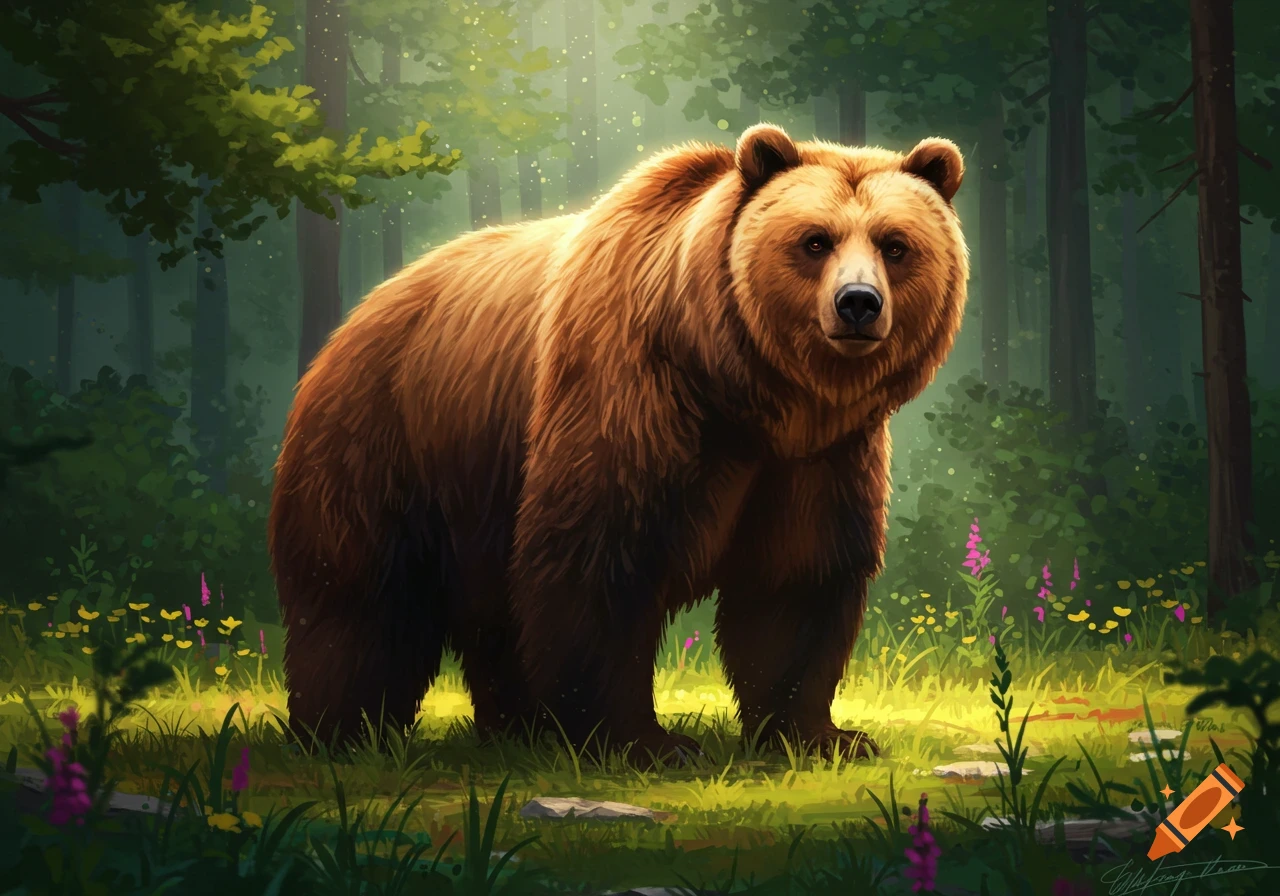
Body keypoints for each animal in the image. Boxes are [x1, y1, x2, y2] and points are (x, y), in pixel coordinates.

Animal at [268, 123, 968, 763]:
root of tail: (357, 317)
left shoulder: (820, 457)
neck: (746, 392)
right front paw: (645, 742)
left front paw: (826, 735)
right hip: (388, 441)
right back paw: (344, 732)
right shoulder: (632, 394)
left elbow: (796, 579)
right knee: (359, 599)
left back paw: (519, 727)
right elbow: (600, 559)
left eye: (896, 244)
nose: (858, 303)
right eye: (815, 240)